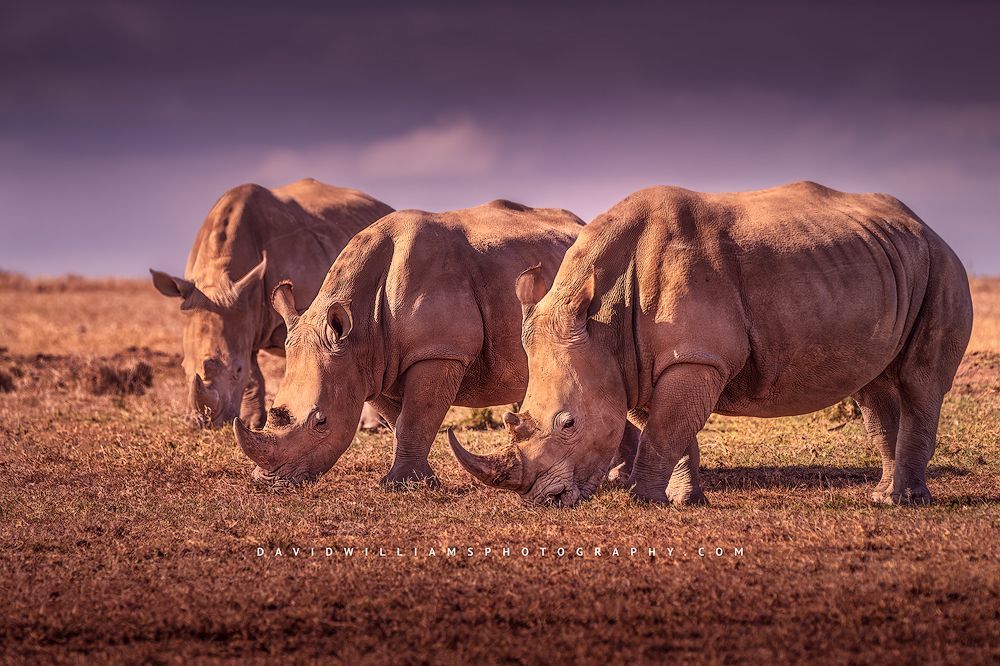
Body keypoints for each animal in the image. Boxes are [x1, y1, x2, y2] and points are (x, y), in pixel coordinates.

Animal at [150, 178, 393, 429]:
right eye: (183, 368)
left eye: (237, 370)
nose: (207, 423)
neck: (219, 280)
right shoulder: (240, 313)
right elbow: (253, 374)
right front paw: (252, 422)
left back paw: (372, 425)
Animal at [232, 199, 640, 487]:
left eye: (321, 422)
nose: (270, 483)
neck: (359, 326)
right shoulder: (372, 364)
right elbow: (401, 420)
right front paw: (417, 481)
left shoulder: (439, 352)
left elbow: (416, 417)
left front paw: (399, 486)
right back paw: (617, 476)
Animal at [449, 182, 973, 507]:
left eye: (568, 423)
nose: (544, 500)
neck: (602, 318)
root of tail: (925, 226)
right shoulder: (644, 360)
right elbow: (670, 428)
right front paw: (683, 500)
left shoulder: (695, 358)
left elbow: (666, 428)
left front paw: (643, 500)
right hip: (888, 260)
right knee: (875, 388)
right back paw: (883, 497)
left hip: (942, 268)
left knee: (920, 382)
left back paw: (906, 501)